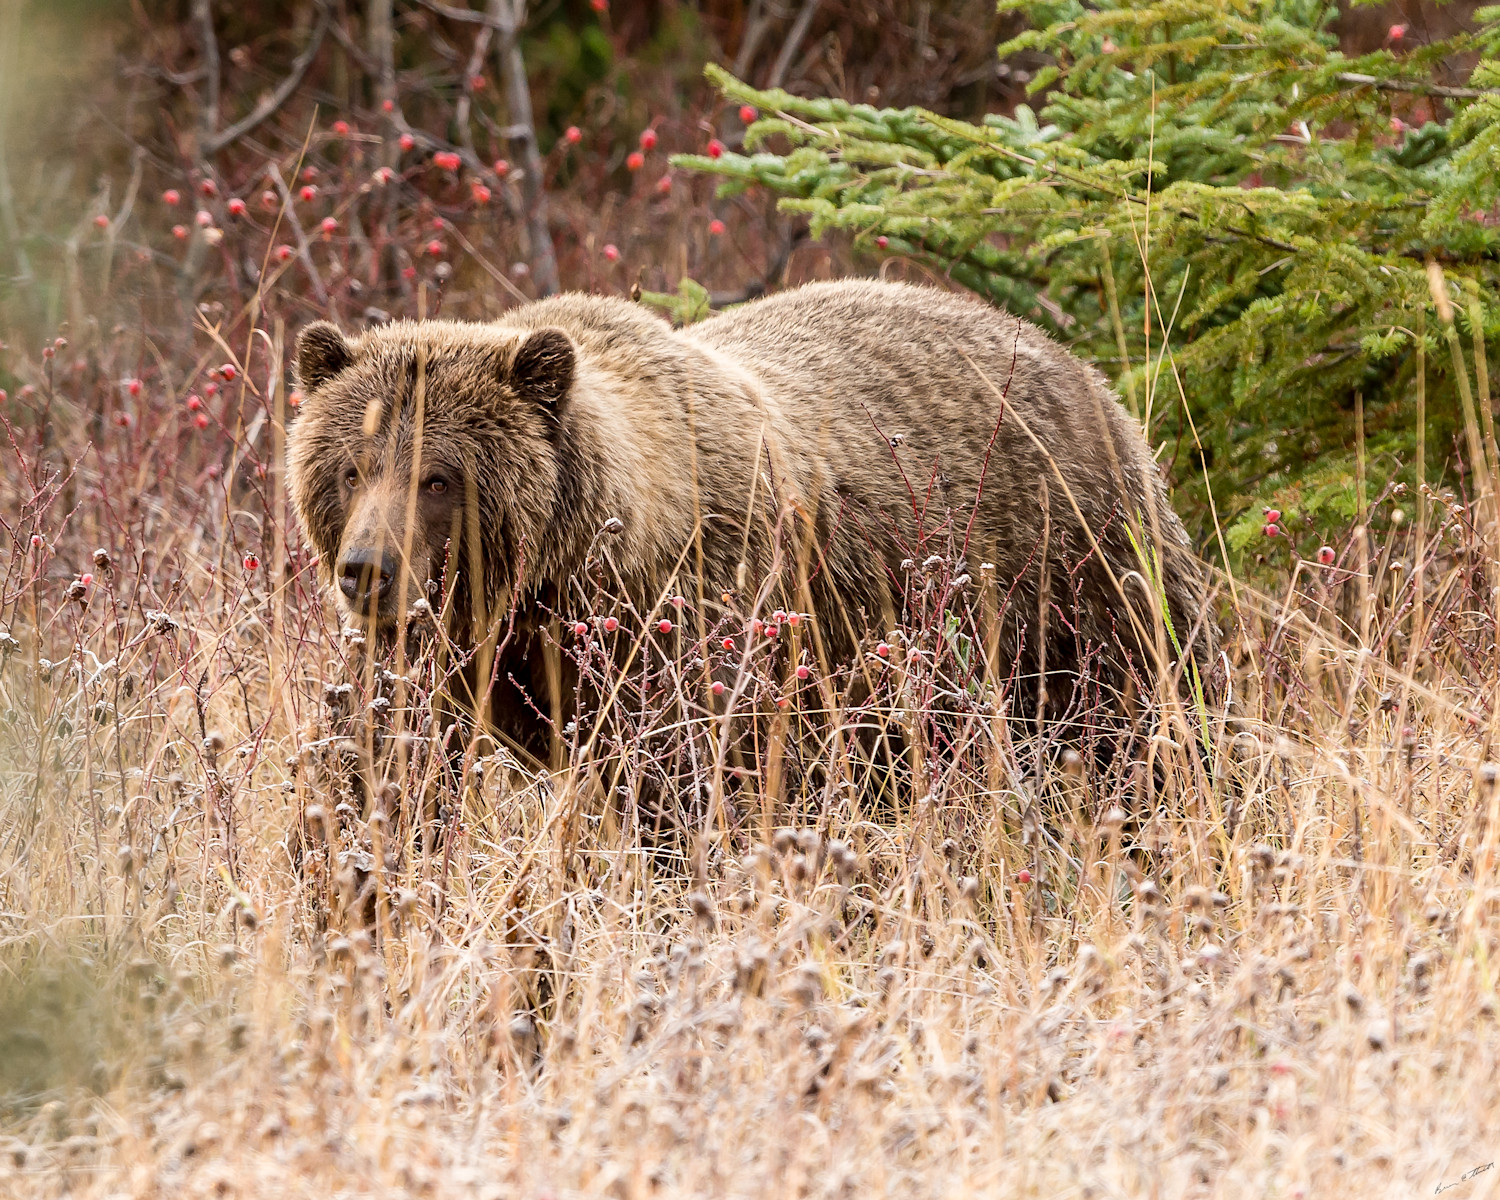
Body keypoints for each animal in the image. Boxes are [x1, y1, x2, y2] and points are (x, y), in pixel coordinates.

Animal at [287, 278, 1215, 764]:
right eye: (351, 467)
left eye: (439, 477)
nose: (366, 570)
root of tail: (1079, 363)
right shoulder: (482, 666)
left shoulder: (699, 628)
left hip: (1077, 573)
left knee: (1157, 708)